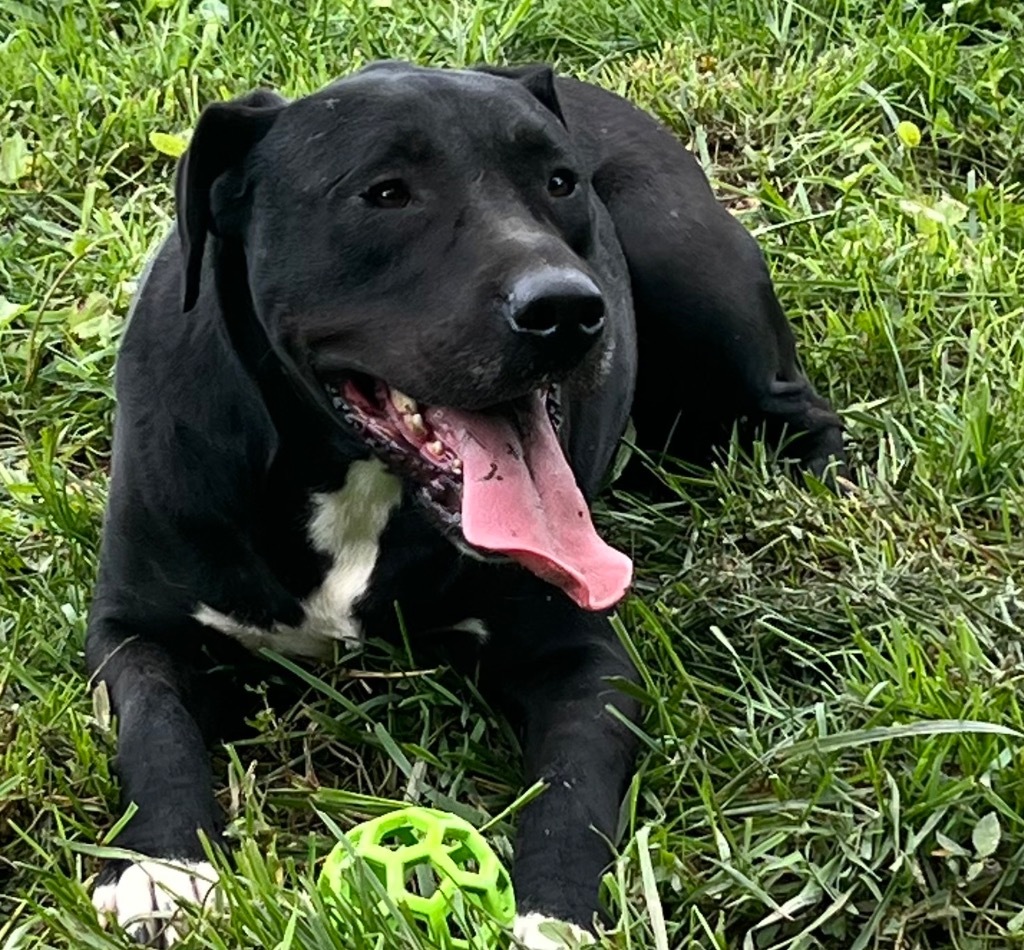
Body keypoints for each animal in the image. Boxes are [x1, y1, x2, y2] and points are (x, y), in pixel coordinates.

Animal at [86, 62, 839, 945]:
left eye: (560, 182)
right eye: (384, 194)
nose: (566, 309)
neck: (352, 482)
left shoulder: (583, 658)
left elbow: (572, 796)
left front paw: (552, 919)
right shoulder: (136, 627)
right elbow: (154, 725)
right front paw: (162, 868)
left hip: (684, 266)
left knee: (800, 411)